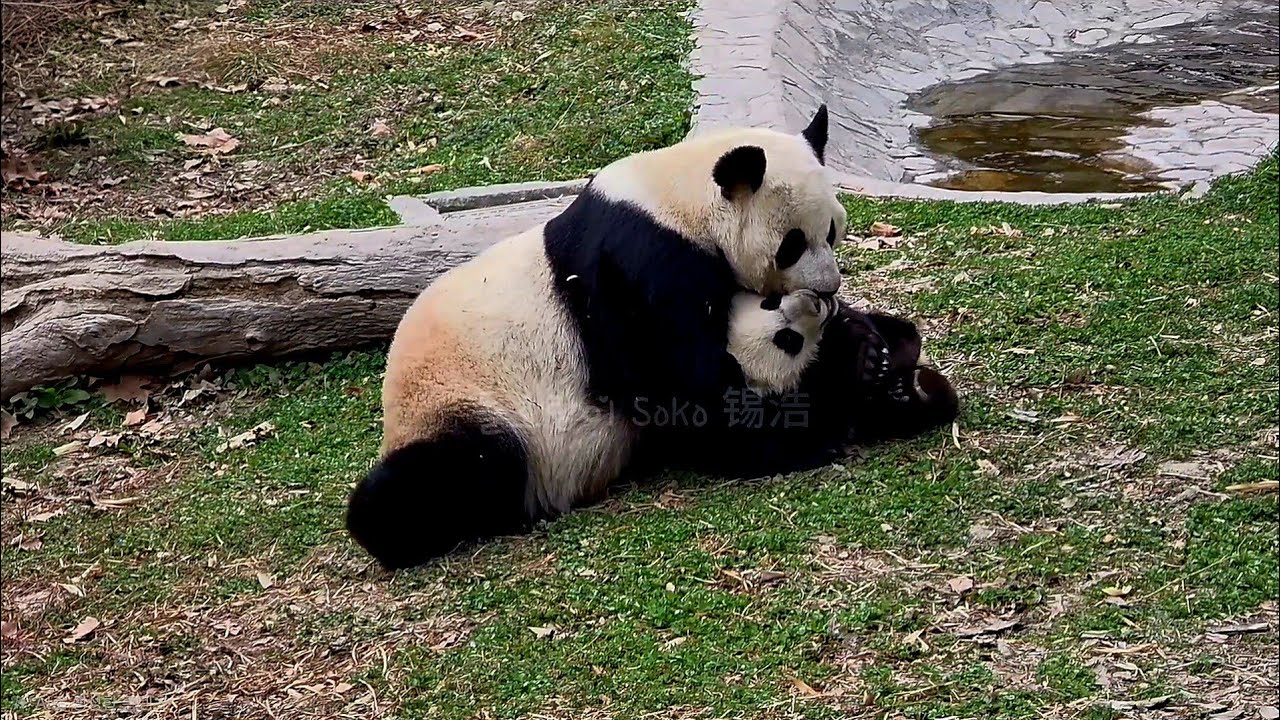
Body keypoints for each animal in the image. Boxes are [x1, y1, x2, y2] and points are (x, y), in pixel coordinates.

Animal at [345, 107, 957, 570]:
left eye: (832, 230)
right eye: (792, 243)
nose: (827, 289)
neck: (680, 198)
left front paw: (875, 347)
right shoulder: (640, 265)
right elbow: (682, 386)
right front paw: (830, 397)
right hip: (466, 401)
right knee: (448, 474)